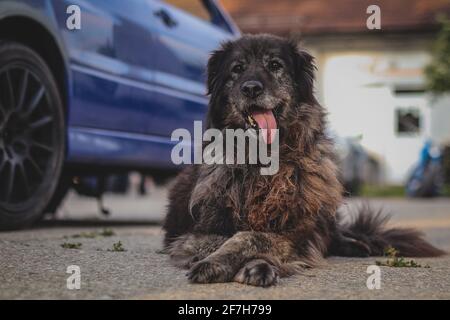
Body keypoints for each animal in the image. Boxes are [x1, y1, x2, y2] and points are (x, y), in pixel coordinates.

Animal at [161, 35, 442, 288]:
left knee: (331, 233)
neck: (263, 162)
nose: (251, 88)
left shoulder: (297, 232)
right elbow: (234, 237)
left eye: (275, 65)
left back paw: (355, 244)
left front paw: (257, 265)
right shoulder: (197, 234)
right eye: (237, 69)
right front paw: (219, 262)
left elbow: (254, 237)